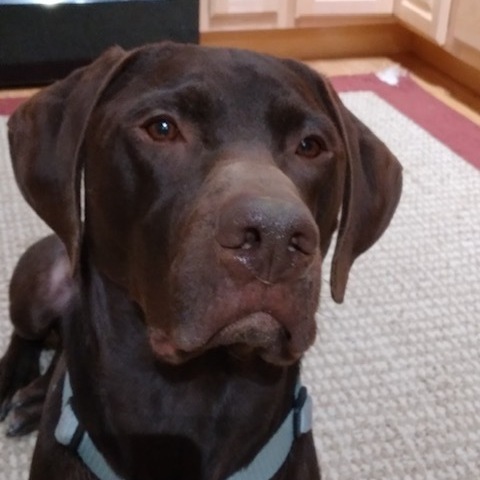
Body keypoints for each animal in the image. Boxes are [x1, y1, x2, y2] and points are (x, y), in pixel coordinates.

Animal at [0, 43, 402, 478]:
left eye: (310, 146)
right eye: (161, 128)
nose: (275, 238)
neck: (196, 391)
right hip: (40, 277)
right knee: (27, 331)